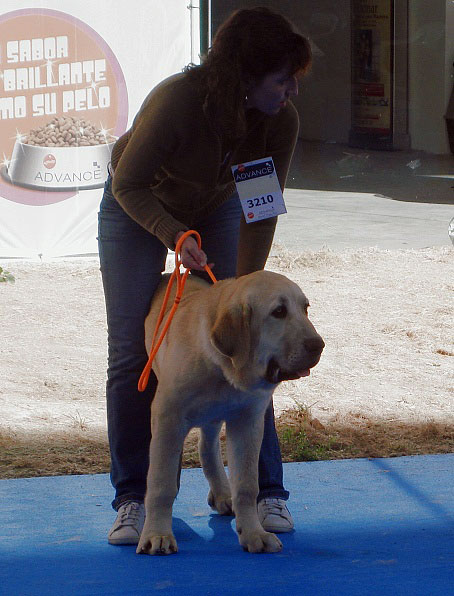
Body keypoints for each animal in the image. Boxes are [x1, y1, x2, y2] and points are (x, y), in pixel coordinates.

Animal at [137, 268, 324, 556]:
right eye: (279, 311)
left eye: (305, 309)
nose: (318, 345)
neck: (221, 367)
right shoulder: (168, 418)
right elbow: (161, 484)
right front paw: (157, 535)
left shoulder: (248, 421)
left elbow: (247, 485)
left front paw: (254, 533)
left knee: (207, 447)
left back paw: (223, 494)